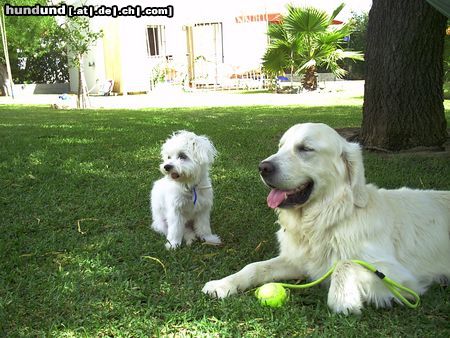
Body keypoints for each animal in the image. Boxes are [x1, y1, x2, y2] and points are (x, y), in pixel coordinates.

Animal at [203, 123, 450, 314]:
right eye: (281, 147)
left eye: (305, 148)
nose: (262, 167)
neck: (325, 220)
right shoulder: (297, 261)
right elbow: (253, 267)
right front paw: (223, 284)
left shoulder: (400, 276)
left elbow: (345, 263)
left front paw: (343, 299)